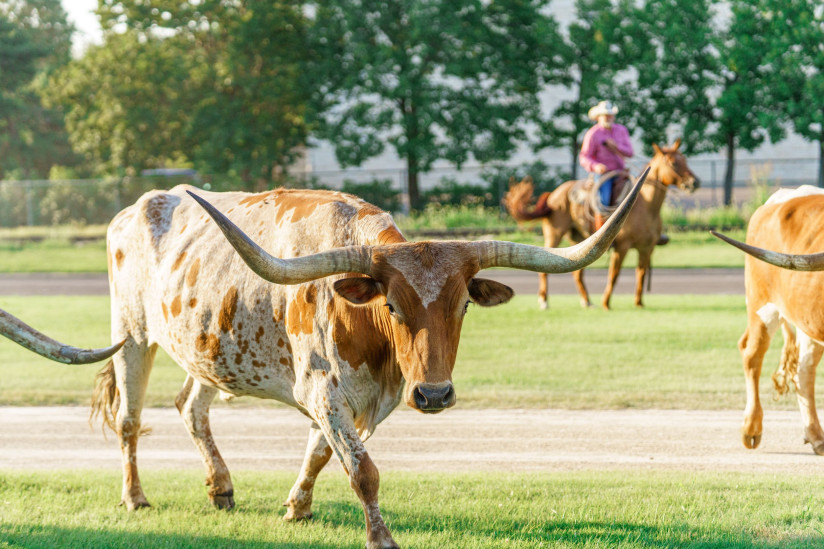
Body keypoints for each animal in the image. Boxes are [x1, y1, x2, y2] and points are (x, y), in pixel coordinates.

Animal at [90, 169, 644, 544]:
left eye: (463, 304)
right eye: (392, 305)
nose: (435, 394)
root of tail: (134, 209)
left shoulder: (363, 398)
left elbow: (321, 453)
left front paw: (298, 507)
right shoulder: (323, 392)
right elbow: (362, 470)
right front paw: (380, 538)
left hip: (210, 350)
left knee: (190, 407)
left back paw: (220, 488)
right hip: (131, 334)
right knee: (129, 420)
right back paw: (135, 496)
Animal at [502, 139, 700, 310]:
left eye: (685, 159)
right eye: (673, 163)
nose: (694, 183)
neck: (645, 206)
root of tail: (554, 194)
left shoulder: (647, 248)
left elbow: (641, 274)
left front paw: (639, 303)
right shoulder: (622, 247)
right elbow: (614, 275)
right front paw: (606, 303)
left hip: (579, 241)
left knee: (577, 272)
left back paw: (587, 301)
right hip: (554, 235)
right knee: (544, 270)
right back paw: (544, 301)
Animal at [712, 186, 824, 456]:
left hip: (807, 320)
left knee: (804, 371)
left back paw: (816, 436)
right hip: (761, 304)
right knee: (752, 354)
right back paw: (751, 429)